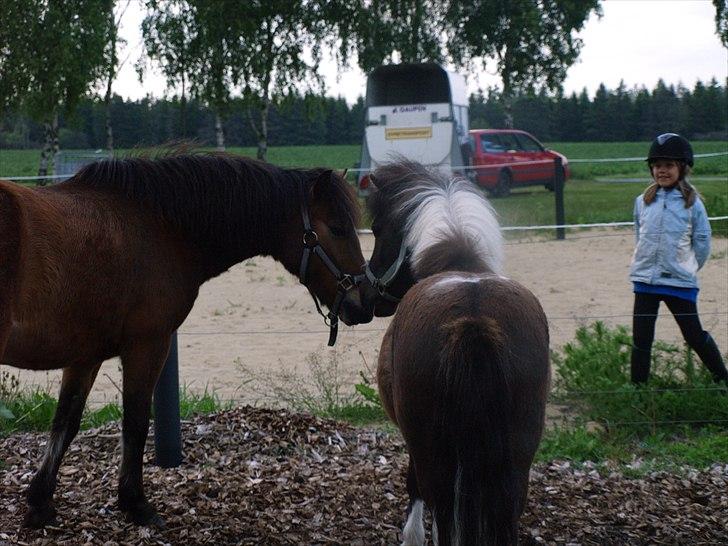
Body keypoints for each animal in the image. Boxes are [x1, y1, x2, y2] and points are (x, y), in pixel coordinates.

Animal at [0, 151, 372, 524]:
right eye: (337, 228)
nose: (364, 305)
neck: (158, 226)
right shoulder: (148, 345)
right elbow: (135, 422)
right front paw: (135, 502)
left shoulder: (84, 355)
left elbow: (66, 422)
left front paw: (41, 500)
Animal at [362, 159, 548, 540]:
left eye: (376, 229)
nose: (367, 296)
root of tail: (473, 321)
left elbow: (414, 492)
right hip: (515, 462)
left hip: (433, 454)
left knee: (442, 512)